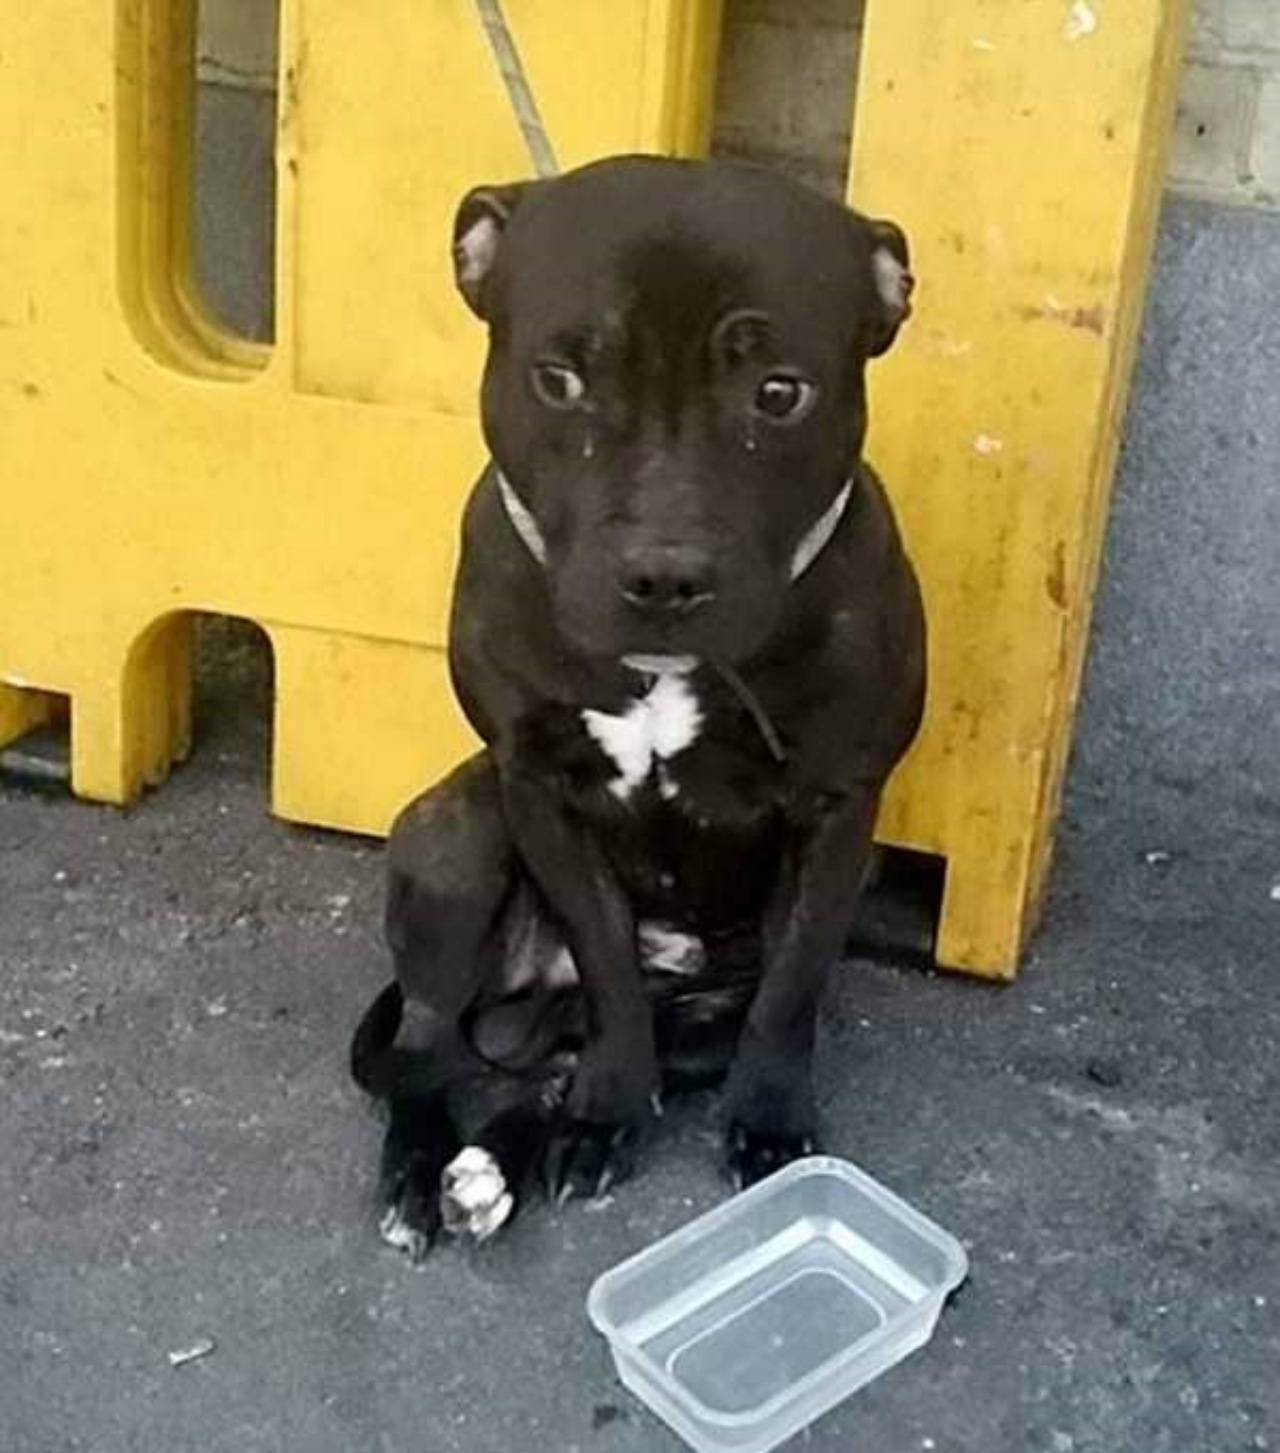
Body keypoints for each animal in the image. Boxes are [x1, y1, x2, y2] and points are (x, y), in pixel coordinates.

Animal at [351, 153, 918, 1255]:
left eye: (779, 393)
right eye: (559, 380)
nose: (662, 574)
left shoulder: (839, 812)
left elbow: (790, 992)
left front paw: (769, 1125)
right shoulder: (537, 789)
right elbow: (608, 964)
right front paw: (609, 1109)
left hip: (706, 999)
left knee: (621, 1049)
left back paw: (506, 1155)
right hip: (456, 832)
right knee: (434, 1048)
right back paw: (430, 1167)